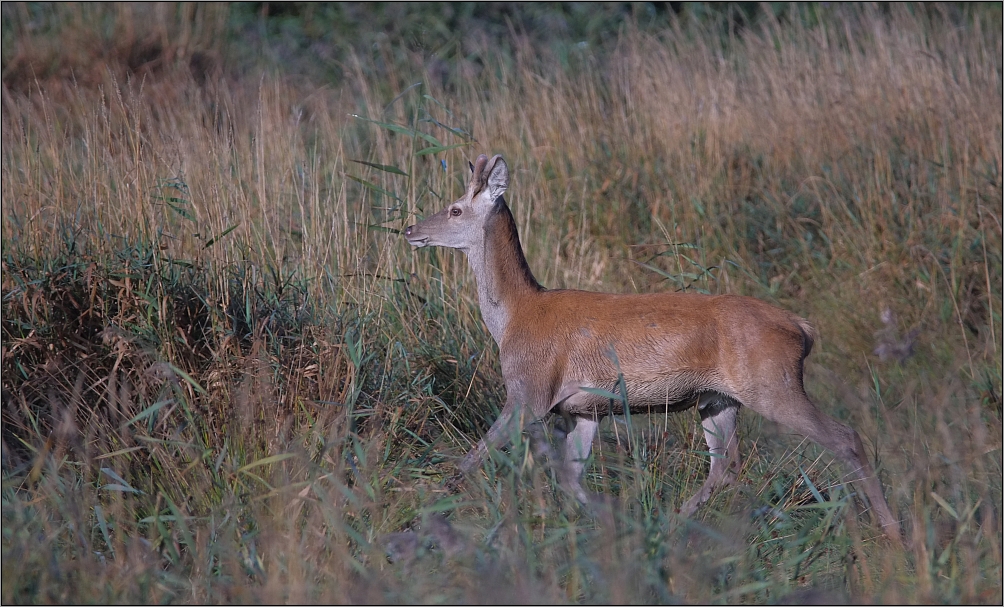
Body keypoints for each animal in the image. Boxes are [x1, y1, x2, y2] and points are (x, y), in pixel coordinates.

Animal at [401, 153, 903, 541]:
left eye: (455, 209)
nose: (408, 229)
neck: (514, 317)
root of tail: (802, 327)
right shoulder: (583, 410)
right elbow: (571, 480)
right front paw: (616, 525)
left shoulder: (530, 390)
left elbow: (473, 457)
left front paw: (423, 515)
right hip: (717, 399)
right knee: (726, 466)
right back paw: (673, 525)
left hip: (773, 383)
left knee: (846, 437)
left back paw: (892, 532)